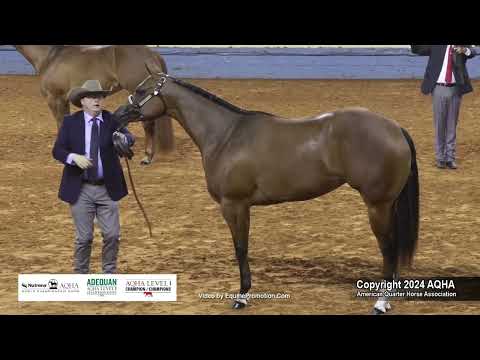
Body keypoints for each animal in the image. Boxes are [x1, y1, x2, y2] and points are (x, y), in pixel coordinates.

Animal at [15, 45, 176, 165]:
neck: (51, 56)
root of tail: (152, 53)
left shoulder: (55, 99)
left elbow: (60, 124)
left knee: (148, 125)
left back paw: (146, 157)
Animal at [113, 71, 420, 316]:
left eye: (140, 91)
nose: (116, 117)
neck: (226, 135)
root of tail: (395, 128)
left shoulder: (234, 205)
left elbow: (240, 248)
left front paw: (242, 296)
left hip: (377, 205)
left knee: (388, 249)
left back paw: (380, 303)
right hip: (387, 205)